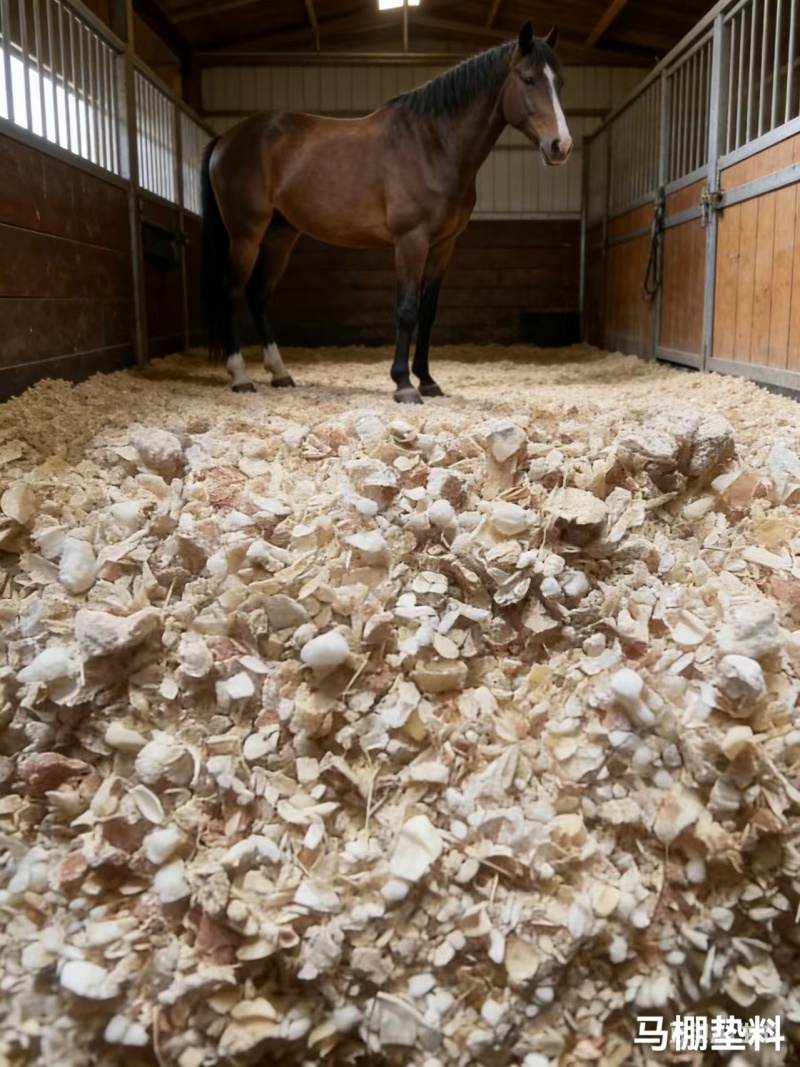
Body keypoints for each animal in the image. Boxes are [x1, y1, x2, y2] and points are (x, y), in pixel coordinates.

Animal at [200, 21, 572, 404]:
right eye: (528, 79)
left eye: (559, 82)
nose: (561, 146)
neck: (433, 144)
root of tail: (226, 138)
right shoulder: (411, 240)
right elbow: (406, 310)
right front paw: (403, 384)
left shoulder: (443, 246)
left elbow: (428, 312)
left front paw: (427, 380)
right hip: (246, 235)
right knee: (233, 291)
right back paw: (240, 377)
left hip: (280, 235)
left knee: (259, 294)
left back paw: (280, 373)